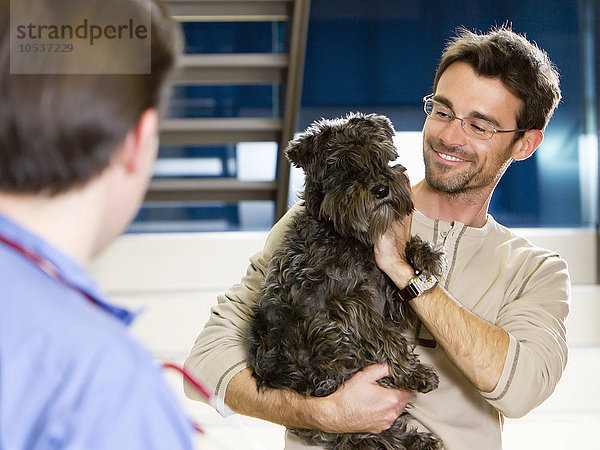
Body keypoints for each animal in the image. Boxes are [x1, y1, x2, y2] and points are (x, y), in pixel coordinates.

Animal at [245, 112, 446, 450]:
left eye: (380, 156)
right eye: (342, 167)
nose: (381, 189)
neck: (342, 234)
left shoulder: (387, 296)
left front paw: (422, 253)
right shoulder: (346, 305)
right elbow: (386, 337)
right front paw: (416, 374)